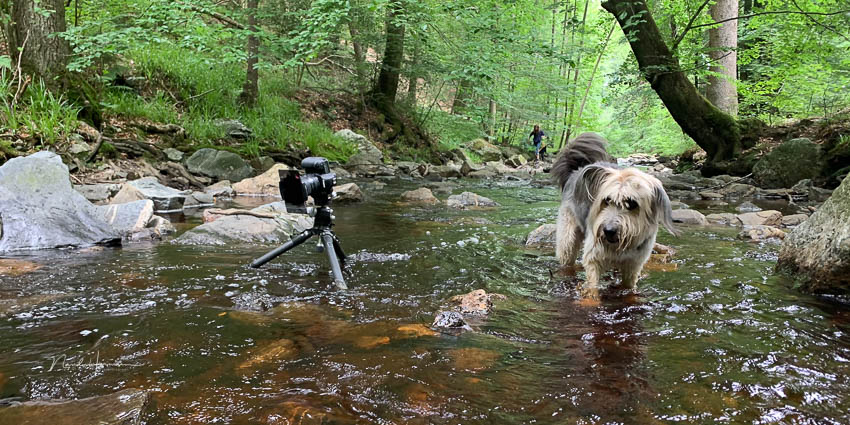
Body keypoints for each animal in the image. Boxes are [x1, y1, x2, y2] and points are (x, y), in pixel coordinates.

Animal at [548, 132, 676, 298]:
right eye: (607, 200)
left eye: (632, 203)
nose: (608, 231)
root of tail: (575, 172)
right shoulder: (593, 257)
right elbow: (592, 286)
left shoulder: (633, 265)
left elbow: (628, 287)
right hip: (568, 237)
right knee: (567, 257)